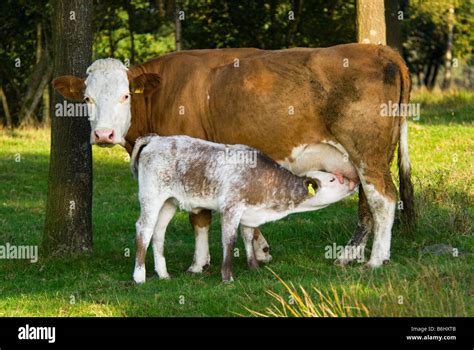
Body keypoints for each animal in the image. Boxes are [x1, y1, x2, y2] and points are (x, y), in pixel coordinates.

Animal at [53, 43, 412, 268]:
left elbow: (199, 215)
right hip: (364, 158)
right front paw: (260, 249)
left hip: (368, 153)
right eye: (87, 98)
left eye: (126, 95)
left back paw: (376, 259)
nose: (103, 135)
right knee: (368, 202)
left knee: (383, 199)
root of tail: (379, 49)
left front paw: (199, 263)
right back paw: (350, 255)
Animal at [131, 135, 354, 284]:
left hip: (169, 202)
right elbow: (229, 241)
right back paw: (140, 275)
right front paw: (227, 277)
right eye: (332, 179)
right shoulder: (231, 207)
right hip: (151, 196)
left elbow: (248, 237)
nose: (353, 183)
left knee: (158, 232)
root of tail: (156, 139)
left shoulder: (249, 213)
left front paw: (254, 267)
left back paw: (163, 274)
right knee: (144, 229)